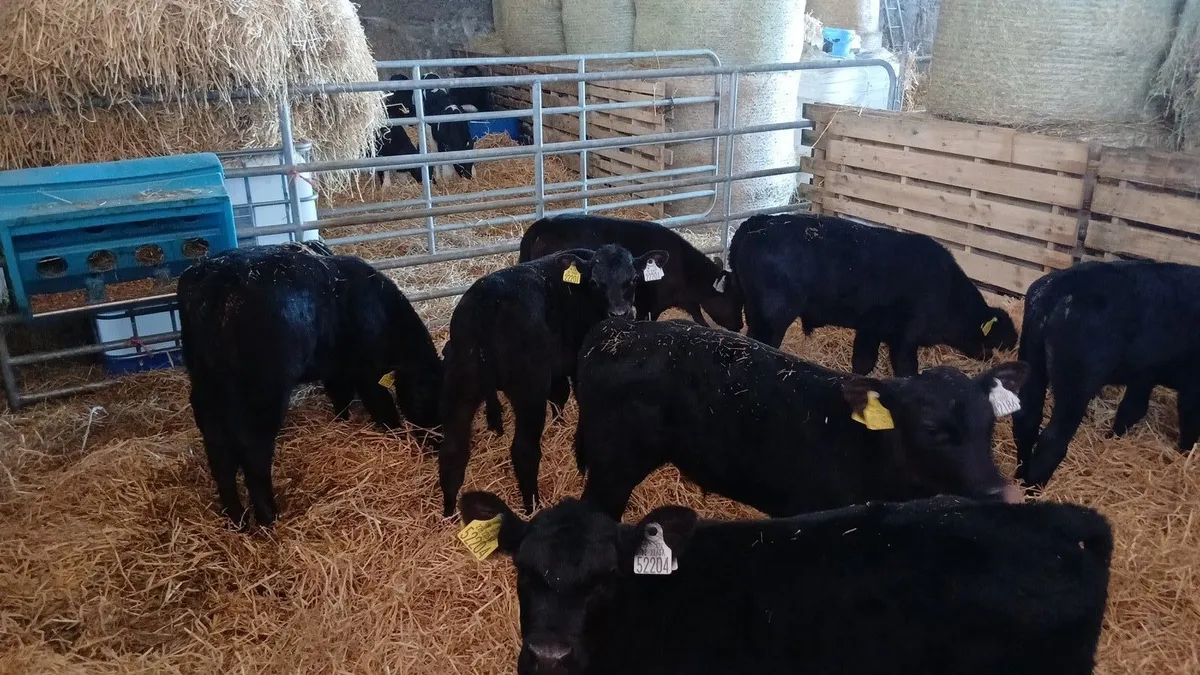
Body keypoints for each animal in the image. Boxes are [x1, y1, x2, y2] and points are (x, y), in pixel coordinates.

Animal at [179, 244, 442, 529]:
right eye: (423, 399)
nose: (435, 441)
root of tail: (215, 284)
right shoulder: (367, 370)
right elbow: (381, 404)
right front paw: (395, 432)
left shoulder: (337, 368)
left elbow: (340, 395)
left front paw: (342, 420)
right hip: (264, 392)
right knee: (253, 449)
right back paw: (267, 518)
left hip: (207, 391)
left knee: (219, 453)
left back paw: (237, 519)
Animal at [438, 244, 669, 517]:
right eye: (594, 282)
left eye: (633, 279)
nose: (621, 313)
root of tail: (487, 298)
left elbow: (559, 394)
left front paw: (559, 423)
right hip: (529, 389)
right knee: (524, 450)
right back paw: (532, 506)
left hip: (461, 382)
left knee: (452, 449)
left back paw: (449, 512)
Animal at [727, 213, 1018, 376]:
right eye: (995, 339)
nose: (992, 358)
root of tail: (758, 223)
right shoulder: (906, 338)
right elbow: (906, 369)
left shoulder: (871, 330)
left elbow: (863, 362)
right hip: (773, 317)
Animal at [1012, 260, 1200, 488]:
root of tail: (1055, 290)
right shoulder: (1192, 386)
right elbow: (1190, 421)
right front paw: (1185, 455)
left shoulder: (1144, 374)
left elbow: (1132, 409)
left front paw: (1112, 438)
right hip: (1076, 385)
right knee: (1052, 440)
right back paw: (1033, 489)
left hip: (1032, 361)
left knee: (1026, 422)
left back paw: (1020, 479)